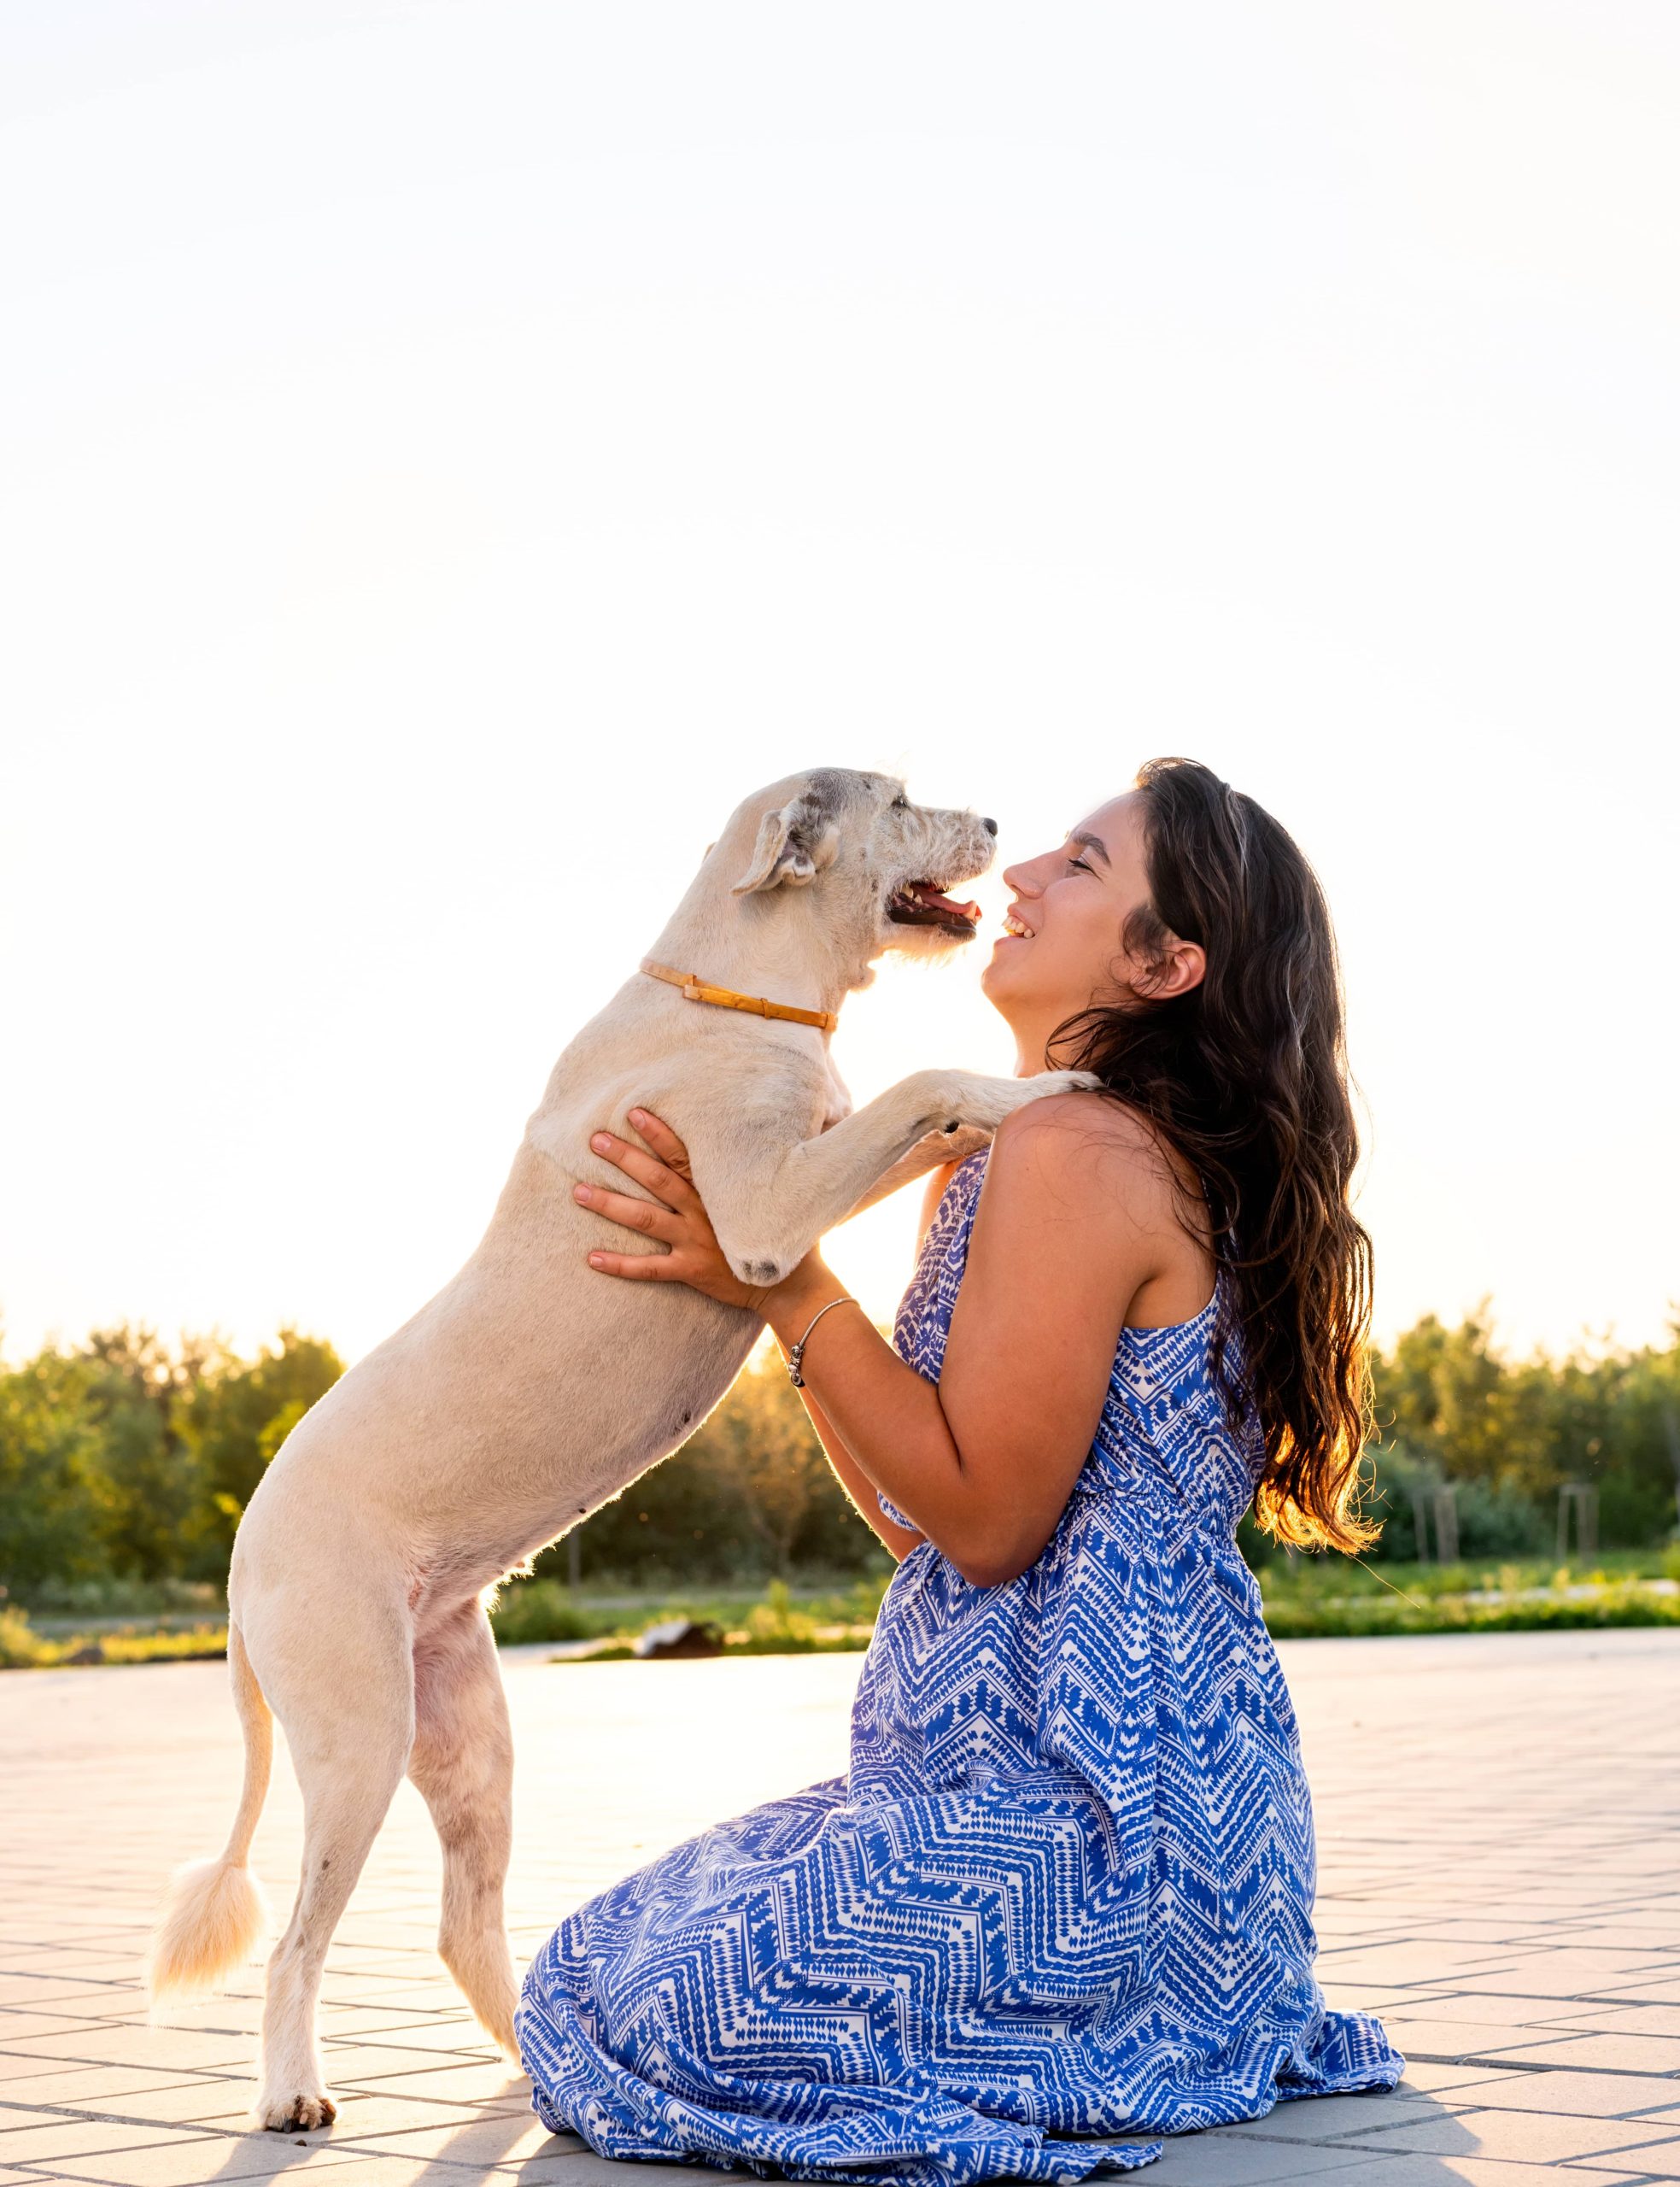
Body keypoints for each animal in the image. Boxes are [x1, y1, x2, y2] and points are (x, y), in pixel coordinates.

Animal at [141, 765, 1089, 2117]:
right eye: (899, 796)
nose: (1001, 825)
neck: (745, 996)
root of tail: (239, 1566)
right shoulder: (759, 1216)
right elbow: (922, 1085)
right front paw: (1047, 1093)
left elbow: (927, 1118)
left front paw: (1019, 1107)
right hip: (358, 1735)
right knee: (296, 1945)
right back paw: (291, 2092)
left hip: (472, 1740)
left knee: (461, 1923)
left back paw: (533, 2067)